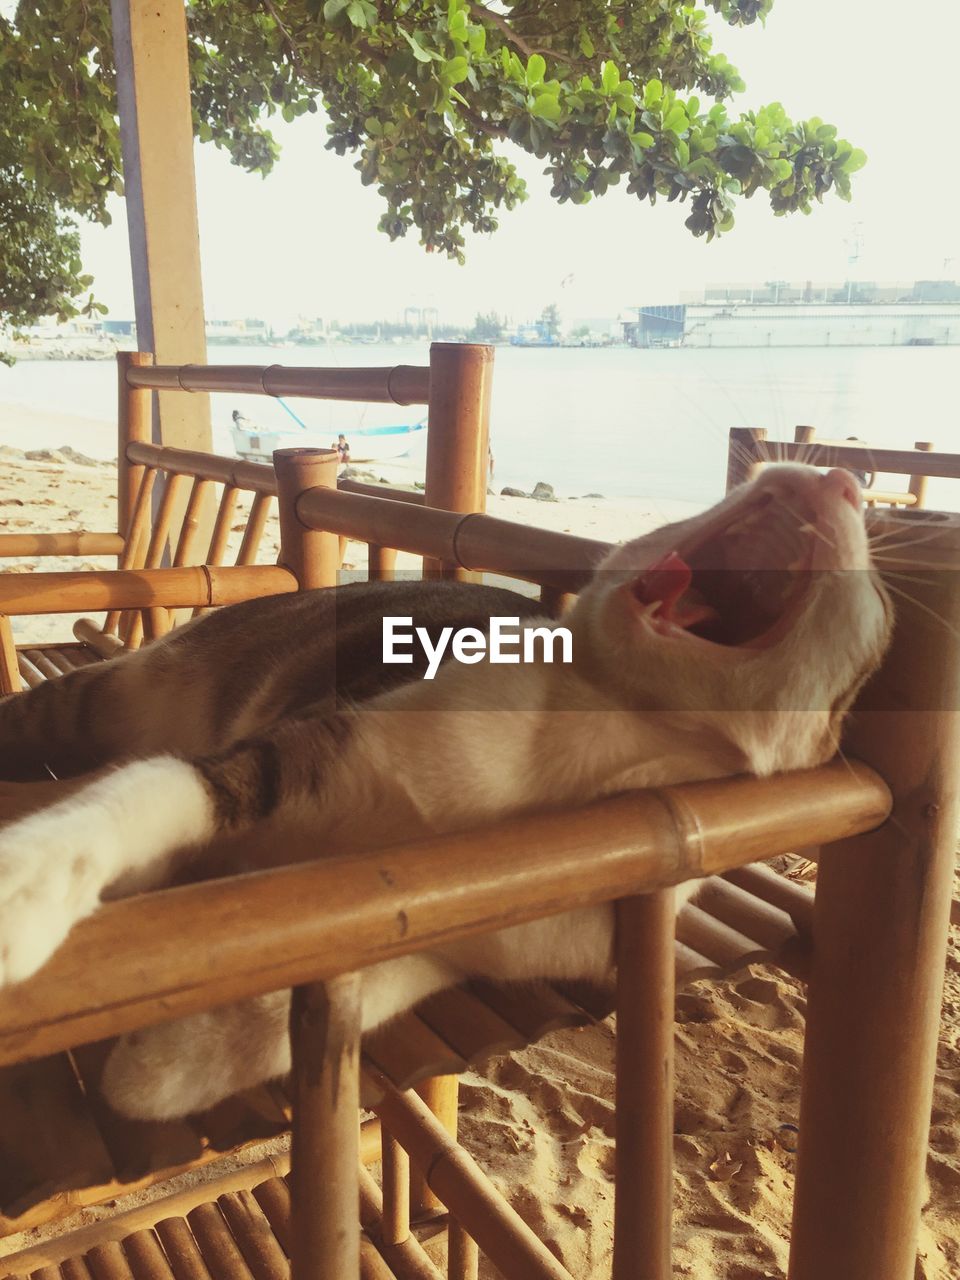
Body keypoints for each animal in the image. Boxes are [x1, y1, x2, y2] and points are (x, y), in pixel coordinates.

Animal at [0, 463, 890, 1121]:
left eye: (876, 613)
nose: (839, 474)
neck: (593, 741)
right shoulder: (292, 754)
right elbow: (154, 792)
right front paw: (29, 884)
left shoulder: (458, 931)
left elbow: (356, 990)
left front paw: (165, 1064)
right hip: (112, 692)